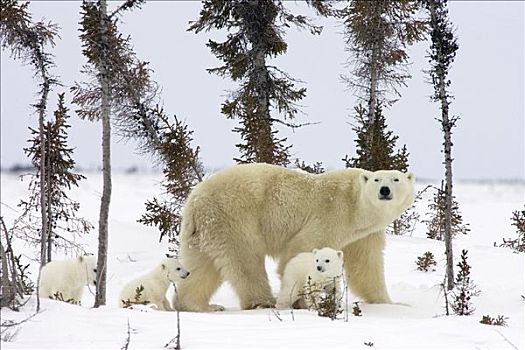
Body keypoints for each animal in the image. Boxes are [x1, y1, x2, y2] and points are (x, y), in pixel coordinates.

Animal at [175, 164, 414, 312]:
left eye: (396, 178)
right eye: (376, 179)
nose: (384, 190)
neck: (356, 205)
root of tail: (194, 201)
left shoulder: (365, 234)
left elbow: (366, 266)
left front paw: (392, 303)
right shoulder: (331, 213)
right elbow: (301, 250)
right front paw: (304, 302)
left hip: (205, 230)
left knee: (200, 267)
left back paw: (199, 306)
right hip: (233, 218)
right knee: (245, 261)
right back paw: (263, 302)